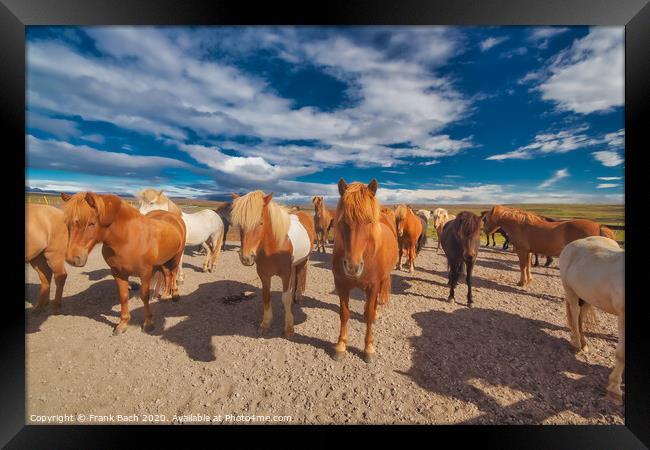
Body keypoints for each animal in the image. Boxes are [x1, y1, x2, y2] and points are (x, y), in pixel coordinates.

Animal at [60, 191, 185, 334]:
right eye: (67, 223)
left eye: (91, 223)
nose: (72, 259)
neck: (128, 238)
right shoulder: (118, 273)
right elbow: (123, 296)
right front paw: (123, 324)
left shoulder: (145, 272)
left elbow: (144, 296)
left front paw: (148, 323)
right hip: (162, 260)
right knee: (167, 274)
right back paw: (164, 295)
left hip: (177, 256)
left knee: (174, 273)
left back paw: (175, 295)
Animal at [229, 190, 316, 338]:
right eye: (240, 224)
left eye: (260, 223)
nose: (246, 258)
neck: (274, 246)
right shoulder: (264, 275)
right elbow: (266, 297)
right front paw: (265, 324)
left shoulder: (285, 275)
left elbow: (285, 298)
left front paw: (289, 328)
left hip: (303, 260)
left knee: (300, 274)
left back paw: (298, 297)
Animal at [332, 178, 398, 364]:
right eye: (343, 221)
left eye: (369, 221)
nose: (352, 267)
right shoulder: (341, 285)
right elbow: (344, 313)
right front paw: (341, 345)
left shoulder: (373, 286)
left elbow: (368, 314)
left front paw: (369, 348)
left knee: (373, 305)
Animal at [484, 206, 616, 286]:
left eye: (486, 219)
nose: (485, 231)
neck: (520, 225)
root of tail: (599, 227)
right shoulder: (529, 251)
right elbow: (528, 266)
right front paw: (529, 280)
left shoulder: (522, 251)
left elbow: (522, 266)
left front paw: (521, 283)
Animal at [556, 237, 624, 402]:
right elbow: (622, 354)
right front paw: (614, 389)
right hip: (570, 290)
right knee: (575, 313)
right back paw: (576, 344)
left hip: (587, 296)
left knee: (581, 315)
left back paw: (583, 343)